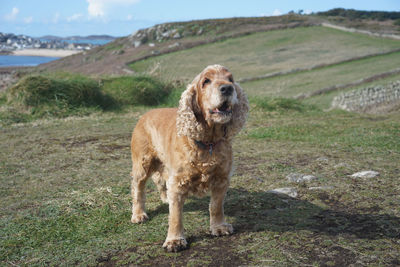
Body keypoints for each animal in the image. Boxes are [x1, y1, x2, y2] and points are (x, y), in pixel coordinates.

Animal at [130, 63, 247, 252]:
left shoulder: (222, 178)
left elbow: (216, 206)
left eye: (230, 79)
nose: (227, 88)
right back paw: (139, 214)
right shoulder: (178, 181)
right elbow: (176, 215)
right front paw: (175, 240)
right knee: (138, 189)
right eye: (206, 81)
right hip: (142, 163)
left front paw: (219, 227)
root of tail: (145, 114)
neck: (208, 142)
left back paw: (164, 198)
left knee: (160, 180)